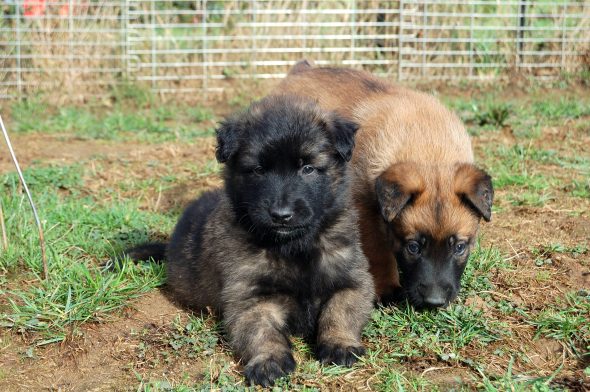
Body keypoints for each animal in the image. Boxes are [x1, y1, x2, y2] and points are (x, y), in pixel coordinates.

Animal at [126, 95, 374, 386]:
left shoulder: (353, 279)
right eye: (258, 170)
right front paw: (269, 361)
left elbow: (340, 312)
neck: (294, 247)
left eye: (308, 168)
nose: (281, 215)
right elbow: (262, 331)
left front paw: (340, 345)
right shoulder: (250, 297)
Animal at [276, 60, 492, 310]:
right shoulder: (365, 209)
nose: (433, 302)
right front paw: (387, 289)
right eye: (413, 247)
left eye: (459, 247)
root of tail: (302, 69)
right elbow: (379, 252)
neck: (431, 153)